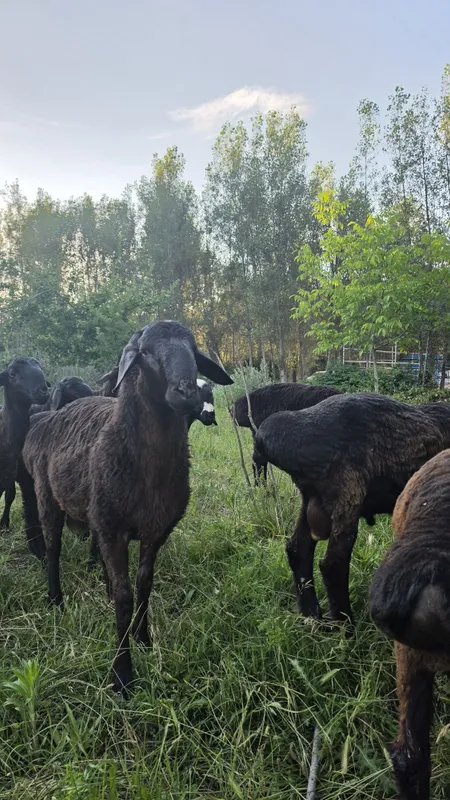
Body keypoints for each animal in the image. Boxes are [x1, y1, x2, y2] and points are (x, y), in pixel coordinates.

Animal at [0, 358, 48, 530]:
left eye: (40, 368)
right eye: (12, 373)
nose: (43, 391)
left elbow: (10, 496)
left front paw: (4, 524)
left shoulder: (10, 474)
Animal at [21, 320, 233, 694]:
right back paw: (55, 598)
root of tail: (56, 412)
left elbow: (144, 584)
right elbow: (123, 597)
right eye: (145, 352)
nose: (186, 392)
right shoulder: (112, 529)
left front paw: (143, 637)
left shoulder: (156, 529)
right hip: (47, 495)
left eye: (194, 350)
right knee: (53, 547)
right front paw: (122, 675)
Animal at [253, 392, 450, 626]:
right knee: (332, 565)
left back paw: (313, 616)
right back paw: (346, 627)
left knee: (298, 550)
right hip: (347, 496)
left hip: (311, 501)